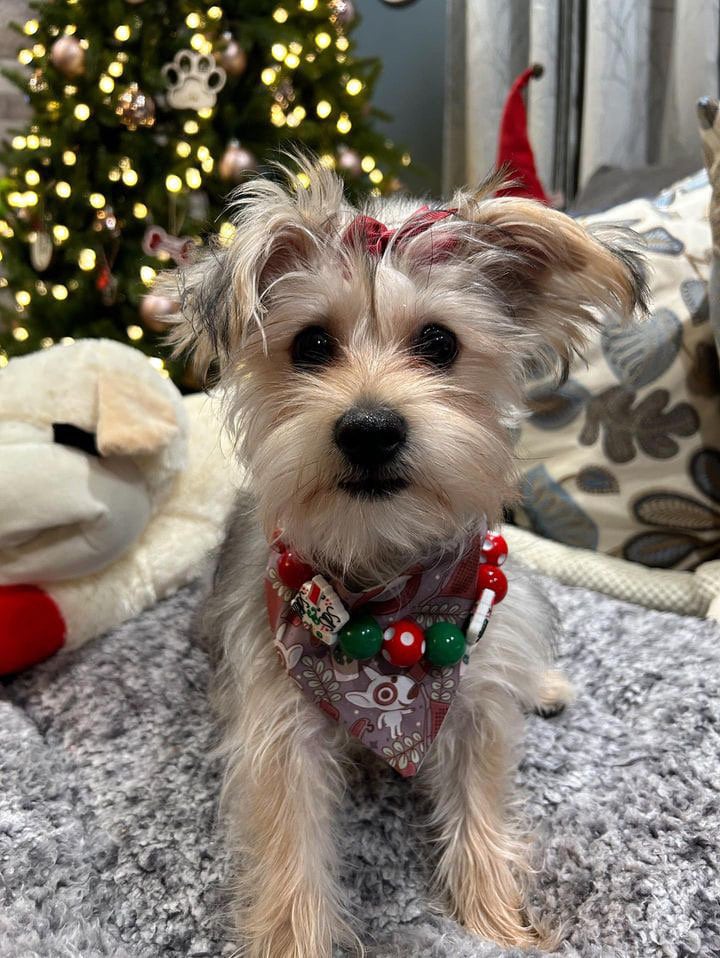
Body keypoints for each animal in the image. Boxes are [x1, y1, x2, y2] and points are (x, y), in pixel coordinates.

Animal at [165, 161, 648, 956]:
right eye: (311, 345)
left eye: (439, 342)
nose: (369, 428)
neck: (390, 592)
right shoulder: (279, 723)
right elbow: (291, 847)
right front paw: (294, 941)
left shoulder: (475, 699)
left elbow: (480, 796)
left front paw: (494, 917)